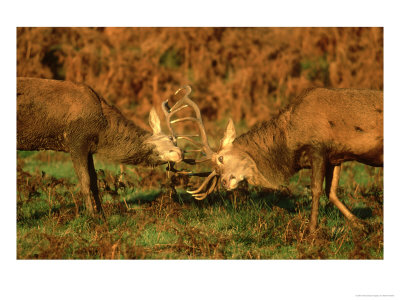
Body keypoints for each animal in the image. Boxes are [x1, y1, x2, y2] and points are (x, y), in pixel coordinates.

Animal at [17, 77, 183, 216]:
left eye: (173, 141)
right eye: (162, 143)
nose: (179, 152)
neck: (101, 128)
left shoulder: (89, 148)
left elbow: (95, 181)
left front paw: (101, 213)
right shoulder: (76, 142)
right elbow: (85, 181)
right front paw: (91, 215)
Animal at [166, 86, 384, 232]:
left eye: (220, 158)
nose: (225, 182)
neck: (289, 142)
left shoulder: (318, 148)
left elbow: (316, 190)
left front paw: (311, 231)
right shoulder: (336, 156)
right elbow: (332, 192)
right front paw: (363, 225)